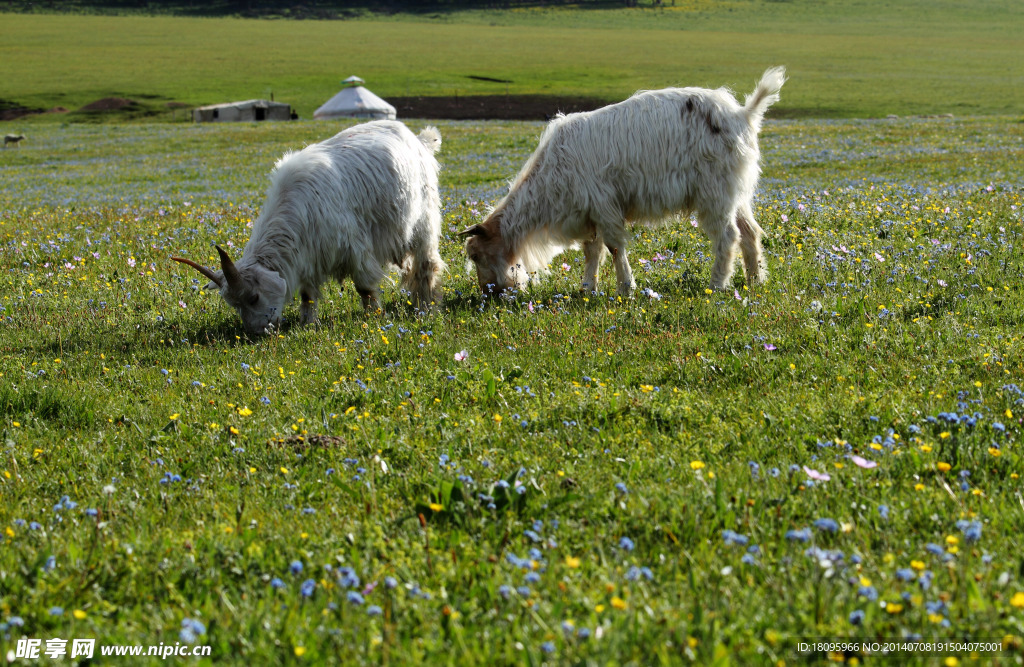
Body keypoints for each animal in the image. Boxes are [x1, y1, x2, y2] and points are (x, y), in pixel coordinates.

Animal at [460, 68, 786, 297]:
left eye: (475, 255)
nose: (489, 294)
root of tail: (743, 114)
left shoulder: (604, 205)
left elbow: (614, 247)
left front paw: (625, 288)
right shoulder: (588, 212)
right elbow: (592, 251)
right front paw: (587, 288)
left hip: (715, 193)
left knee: (728, 236)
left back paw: (717, 284)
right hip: (737, 193)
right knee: (750, 232)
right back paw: (755, 281)